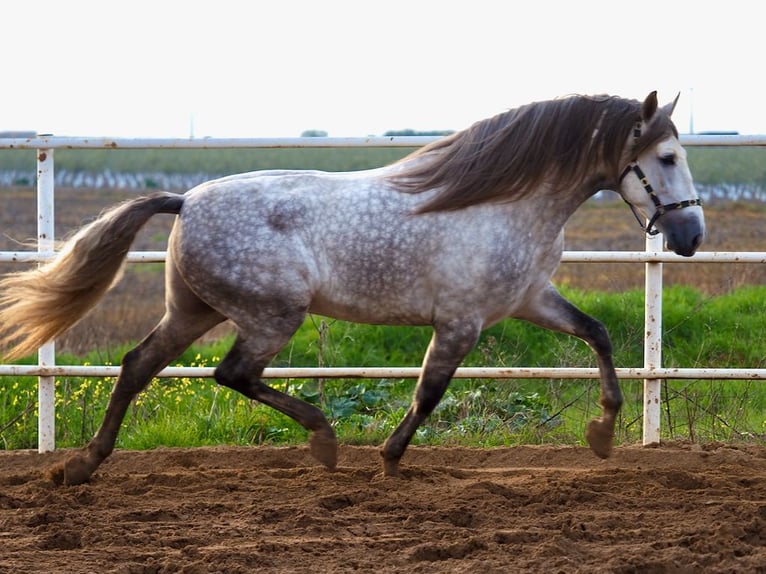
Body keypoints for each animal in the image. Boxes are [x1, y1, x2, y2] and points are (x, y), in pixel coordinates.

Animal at [0, 91, 708, 486]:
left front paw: (603, 434)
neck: (504, 204)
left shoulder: (529, 300)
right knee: (230, 374)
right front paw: (390, 458)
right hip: (270, 315)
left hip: (195, 310)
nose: (692, 235)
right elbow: (428, 393)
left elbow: (598, 334)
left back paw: (80, 467)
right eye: (668, 158)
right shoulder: (461, 322)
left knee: (138, 364)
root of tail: (186, 200)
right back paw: (324, 439)